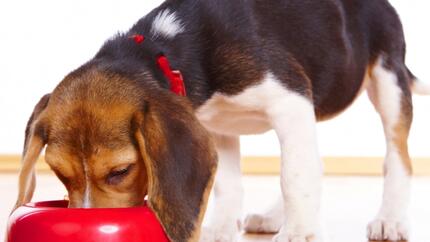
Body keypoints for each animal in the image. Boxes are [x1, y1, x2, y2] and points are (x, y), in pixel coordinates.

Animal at [11, 0, 428, 241]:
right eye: (60, 174)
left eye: (120, 172)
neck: (164, 50)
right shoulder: (216, 126)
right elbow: (230, 184)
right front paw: (222, 229)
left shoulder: (290, 100)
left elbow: (293, 176)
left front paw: (298, 233)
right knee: (315, 162)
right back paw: (273, 216)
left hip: (388, 80)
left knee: (397, 158)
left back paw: (390, 219)